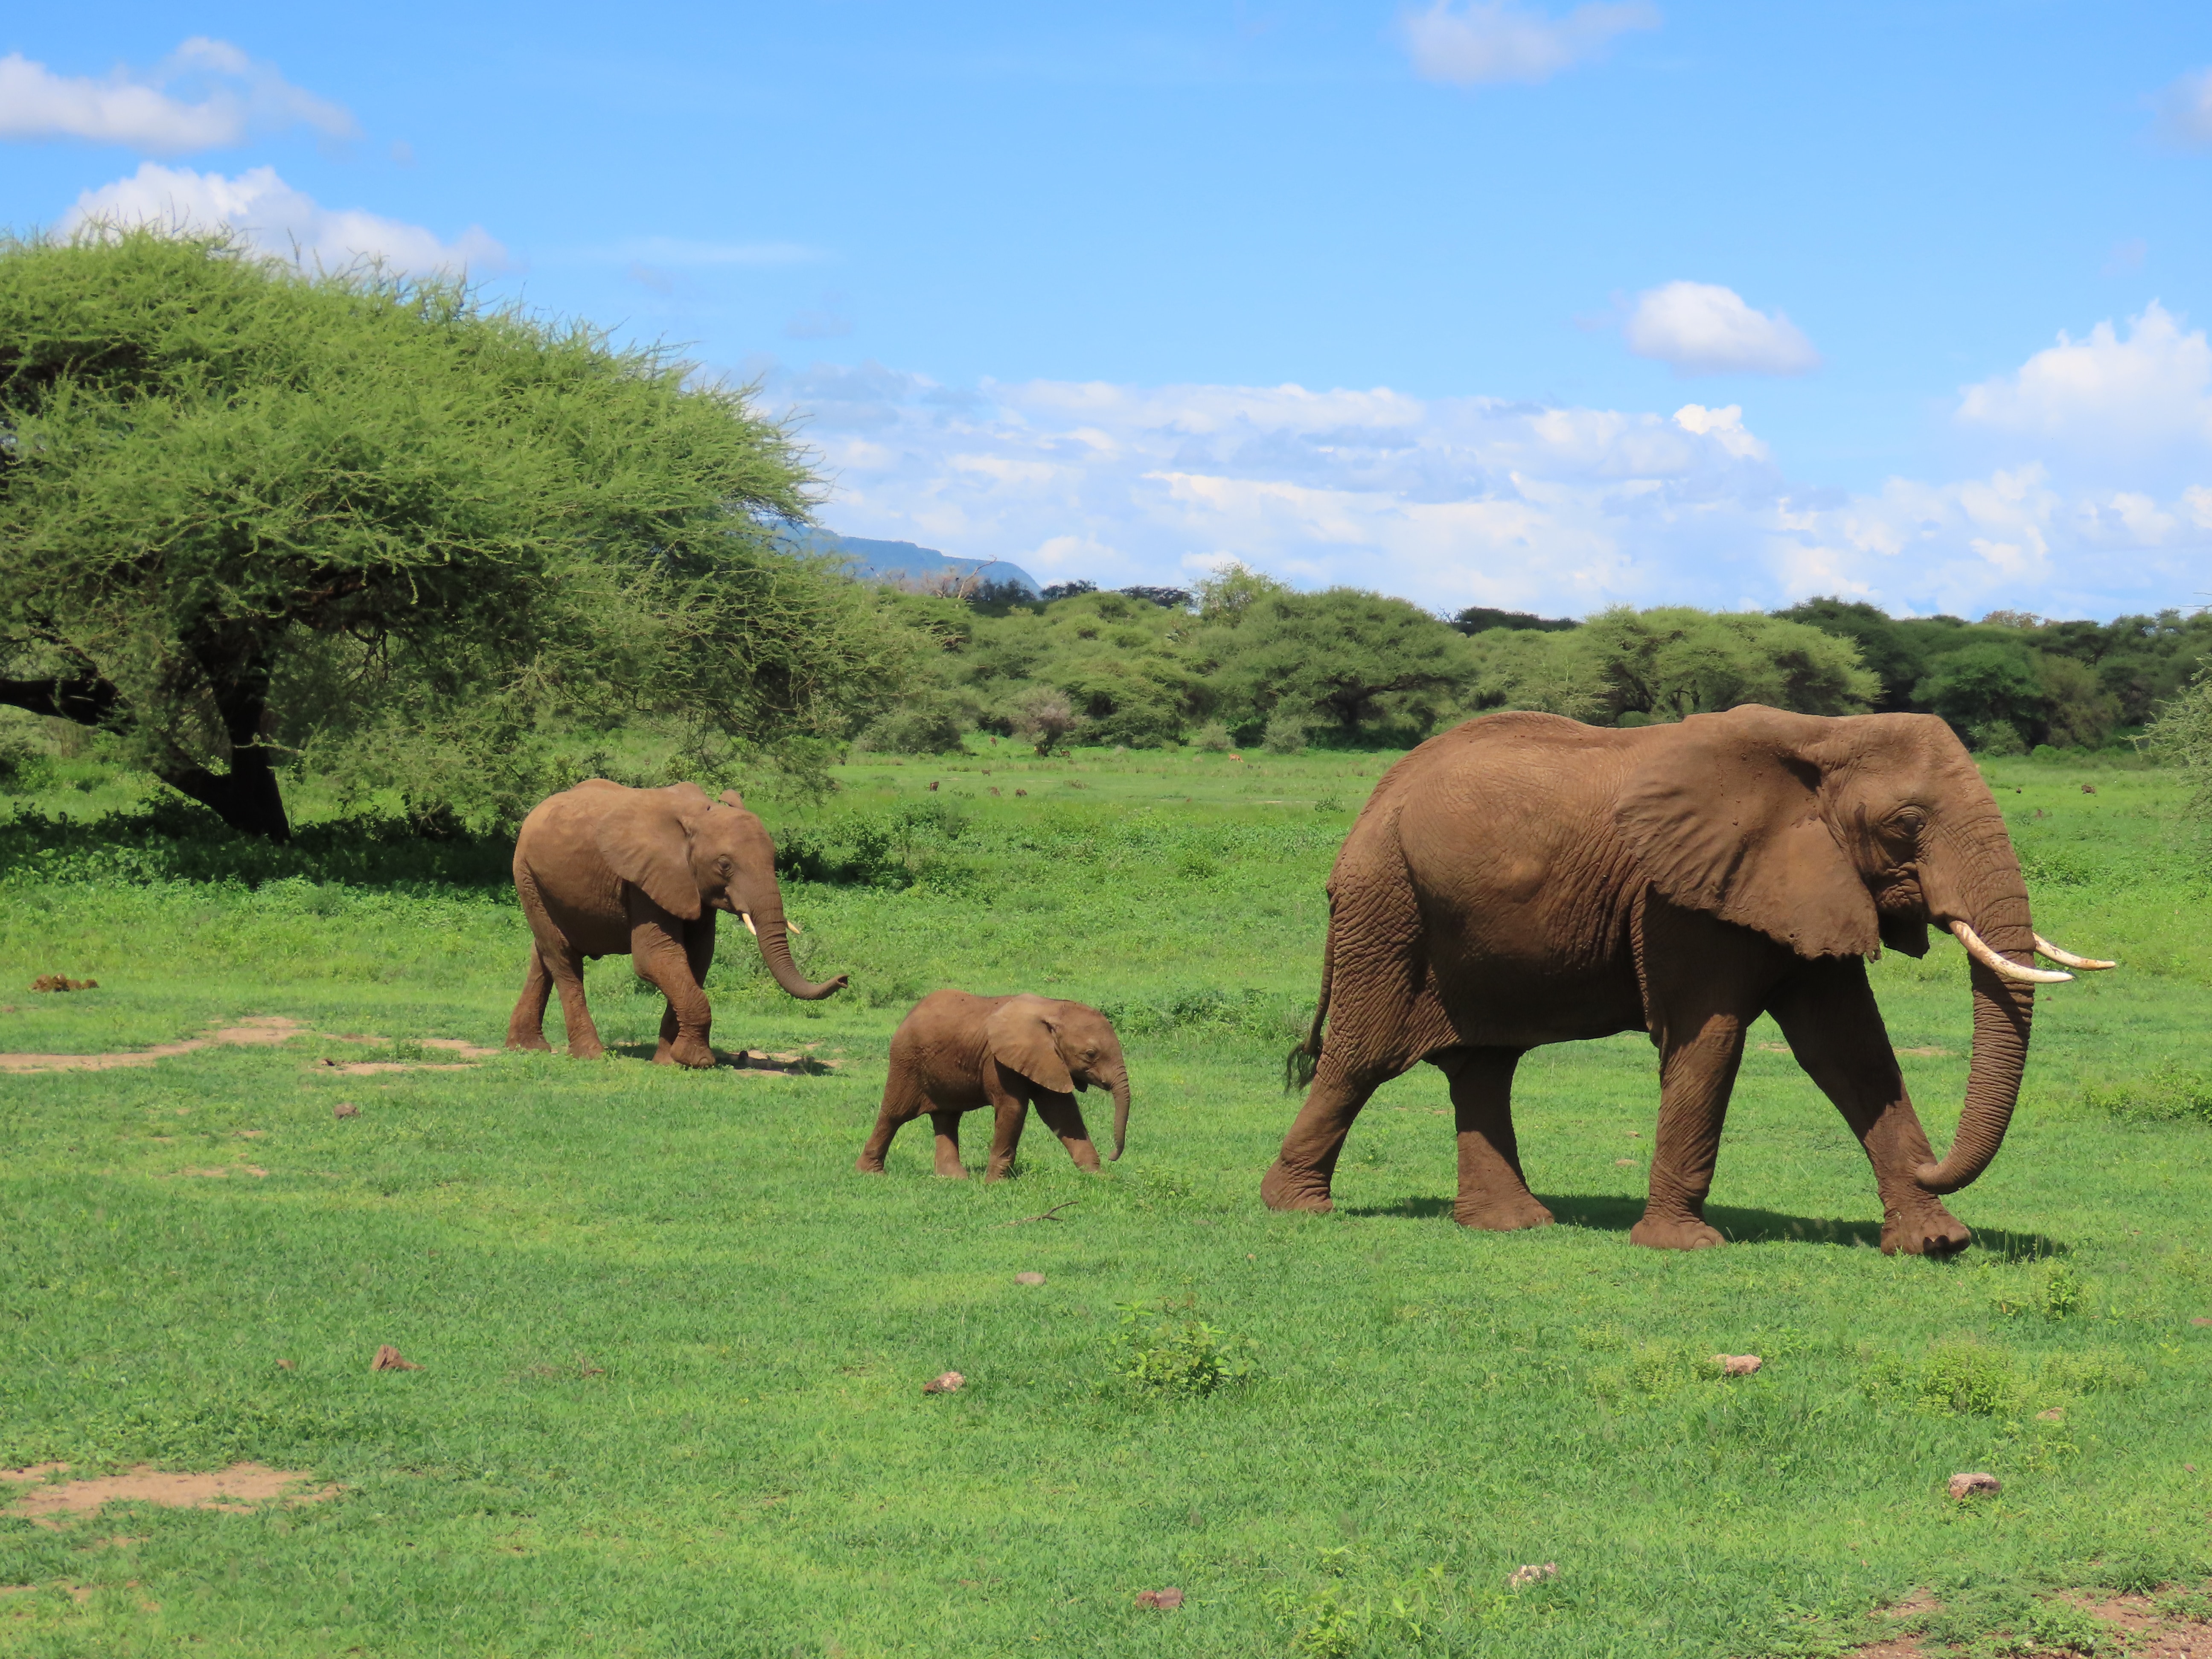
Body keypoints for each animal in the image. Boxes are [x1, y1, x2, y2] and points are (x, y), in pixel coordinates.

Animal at [506, 779, 846, 1067]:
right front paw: (698, 1061)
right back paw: (591, 1055)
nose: (844, 979)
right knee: (563, 957)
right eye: (724, 865)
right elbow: (656, 958)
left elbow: (696, 958)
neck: (697, 816)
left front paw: (670, 1061)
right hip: (526, 875)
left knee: (543, 955)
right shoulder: (646, 879)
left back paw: (527, 1048)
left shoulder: (692, 887)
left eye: (774, 858)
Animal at [856, 991, 1131, 1180]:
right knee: (895, 1114)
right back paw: (871, 1174)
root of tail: (909, 1014)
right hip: (906, 1061)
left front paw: (1100, 1178)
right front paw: (995, 1184)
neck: (1051, 1007)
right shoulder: (998, 1061)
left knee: (947, 1118)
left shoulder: (1048, 1060)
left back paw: (954, 1179)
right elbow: (1013, 1109)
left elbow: (1063, 1114)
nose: (1113, 1156)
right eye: (1091, 1054)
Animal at [1262, 706, 2114, 1255]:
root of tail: (1373, 800)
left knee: (1484, 1064)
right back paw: (1299, 1210)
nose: (1929, 1163)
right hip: (1387, 904)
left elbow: (1850, 1051)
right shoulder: (1677, 897)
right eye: (1905, 824)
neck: (1821, 734)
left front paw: (1934, 1242)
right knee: (1363, 1056)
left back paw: (1513, 1226)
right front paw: (1684, 1245)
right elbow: (1709, 1040)